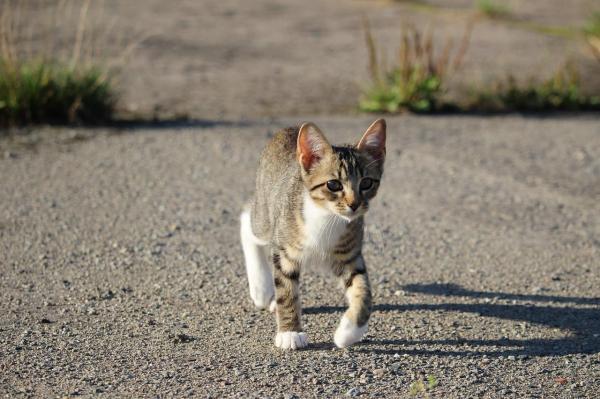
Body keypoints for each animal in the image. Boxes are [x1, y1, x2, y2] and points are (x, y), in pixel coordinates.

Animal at [239, 119, 384, 350]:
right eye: (333, 184)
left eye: (367, 183)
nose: (354, 205)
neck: (326, 216)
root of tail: (289, 128)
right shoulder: (285, 253)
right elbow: (287, 290)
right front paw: (290, 333)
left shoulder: (350, 256)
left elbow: (364, 291)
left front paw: (349, 332)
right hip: (266, 217)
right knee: (247, 220)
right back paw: (261, 289)